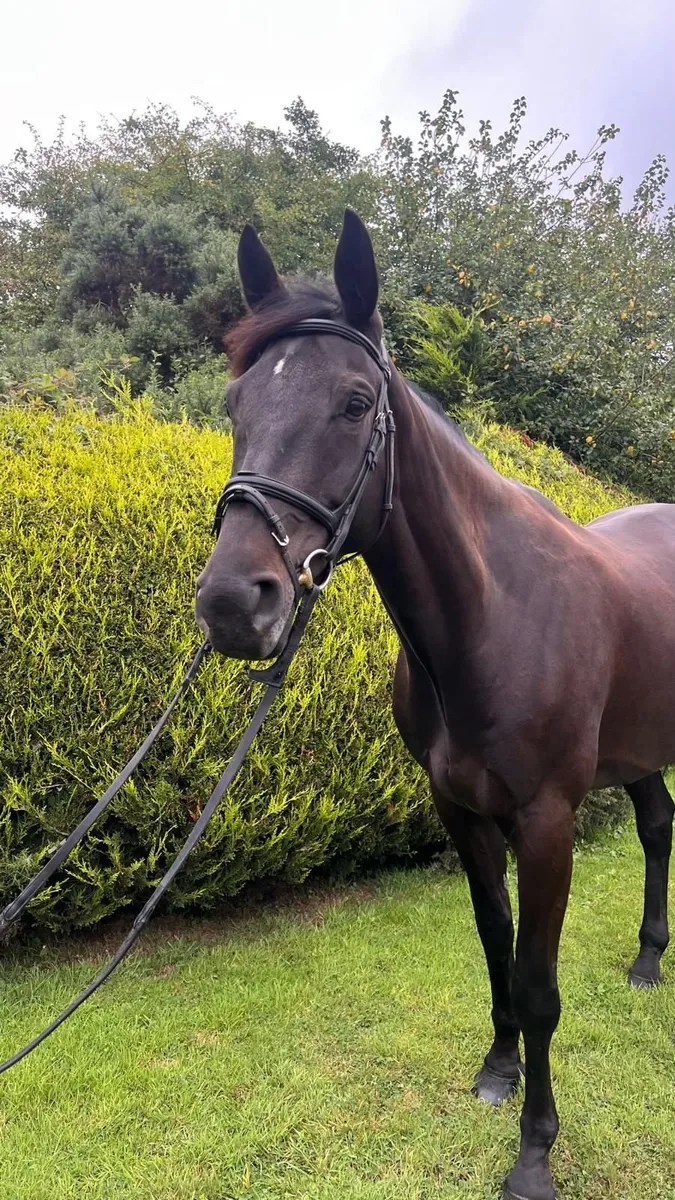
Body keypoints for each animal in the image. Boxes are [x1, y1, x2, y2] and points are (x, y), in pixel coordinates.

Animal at [194, 209, 674, 1200]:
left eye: (353, 403)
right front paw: (498, 1073)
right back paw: (648, 961)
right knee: (657, 825)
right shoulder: (459, 809)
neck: (491, 616)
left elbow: (537, 981)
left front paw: (533, 1153)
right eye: (235, 405)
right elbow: (494, 943)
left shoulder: (547, 820)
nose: (232, 603)